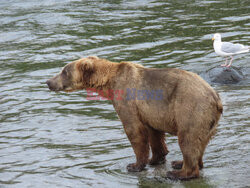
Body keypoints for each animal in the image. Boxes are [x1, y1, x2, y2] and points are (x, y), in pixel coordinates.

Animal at [46, 56, 223, 181]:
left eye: (64, 71)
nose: (48, 81)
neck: (109, 83)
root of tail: (216, 98)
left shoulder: (127, 100)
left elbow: (134, 131)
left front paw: (134, 165)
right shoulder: (150, 111)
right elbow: (154, 134)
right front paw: (155, 158)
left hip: (190, 109)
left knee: (188, 139)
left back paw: (179, 173)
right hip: (207, 120)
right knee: (200, 142)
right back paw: (180, 163)